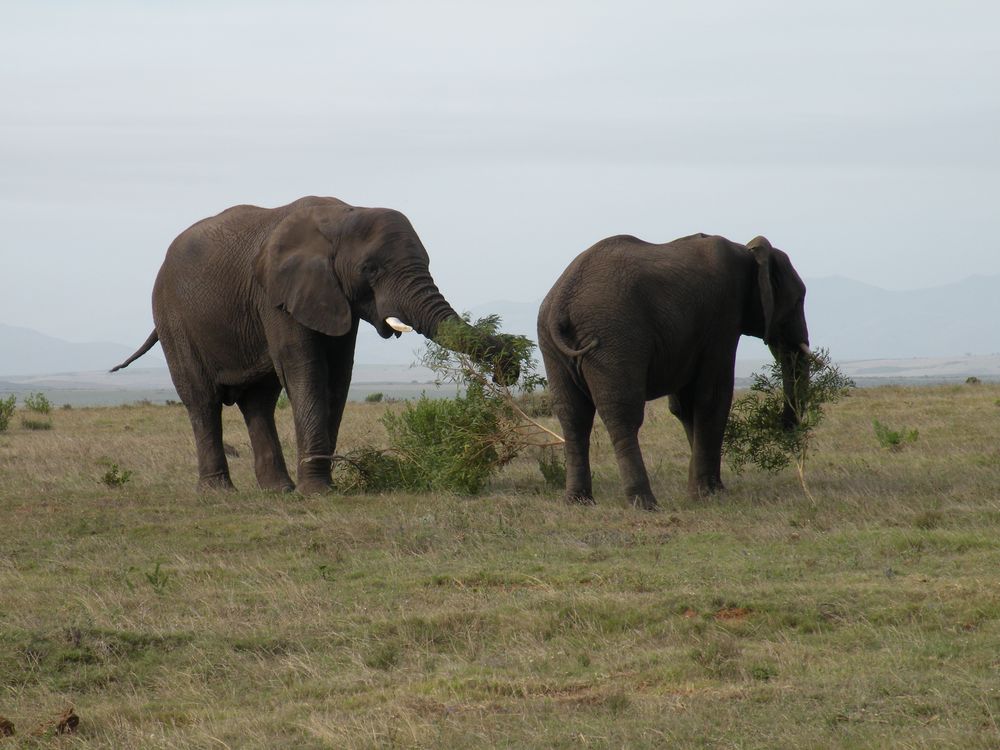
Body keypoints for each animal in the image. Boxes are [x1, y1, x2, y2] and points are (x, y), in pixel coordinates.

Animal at [113, 197, 520, 496]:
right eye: (370, 270)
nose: (508, 369)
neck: (342, 217)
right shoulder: (277, 296)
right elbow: (305, 370)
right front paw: (318, 493)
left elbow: (338, 376)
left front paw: (319, 487)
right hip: (173, 318)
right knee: (202, 400)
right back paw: (219, 494)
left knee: (258, 401)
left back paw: (278, 490)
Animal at [536, 235, 808, 512]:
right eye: (798, 300)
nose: (784, 425)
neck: (746, 251)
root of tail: (562, 304)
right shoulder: (723, 317)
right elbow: (713, 398)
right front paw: (710, 494)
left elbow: (685, 407)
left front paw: (705, 491)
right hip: (613, 338)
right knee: (623, 415)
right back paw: (645, 504)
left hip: (551, 344)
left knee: (572, 416)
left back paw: (578, 502)